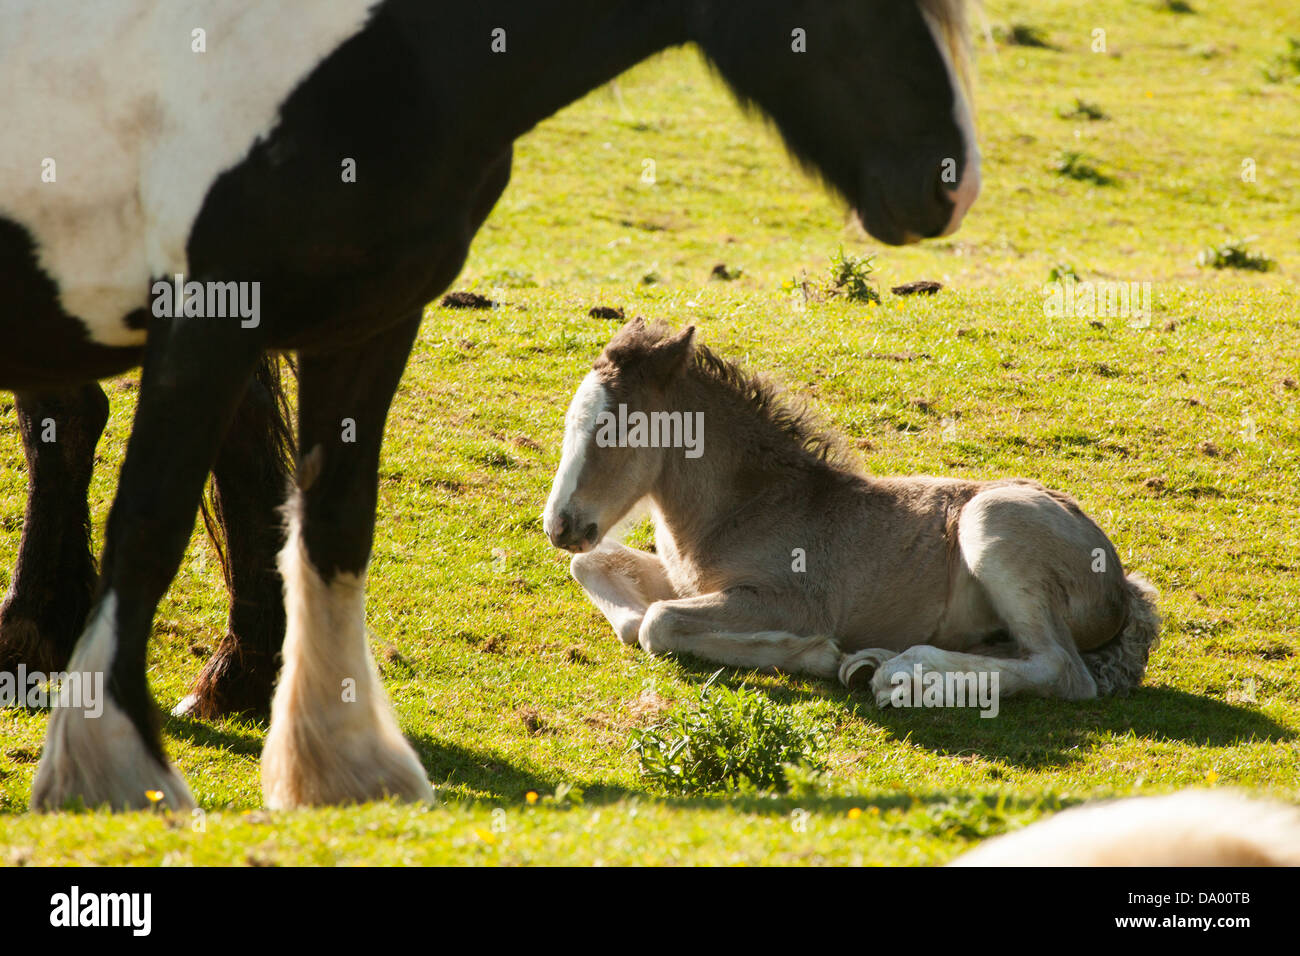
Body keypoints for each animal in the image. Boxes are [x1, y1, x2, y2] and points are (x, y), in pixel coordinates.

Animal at [543, 320, 1161, 706]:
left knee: (1062, 670)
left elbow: (658, 621)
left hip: (994, 521)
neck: (746, 505)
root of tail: (1123, 587)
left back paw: (903, 677)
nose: (559, 526)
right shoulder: (682, 578)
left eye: (615, 427)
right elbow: (602, 582)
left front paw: (816, 654)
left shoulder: (791, 600)